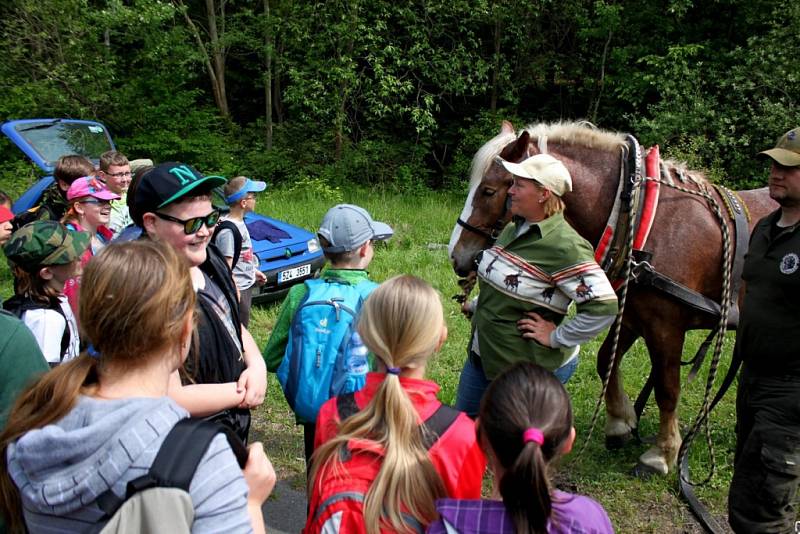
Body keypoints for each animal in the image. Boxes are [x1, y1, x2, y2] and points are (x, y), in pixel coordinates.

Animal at [446, 122, 780, 478]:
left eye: (488, 191)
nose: (456, 255)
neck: (644, 221)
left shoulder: (666, 325)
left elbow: (667, 387)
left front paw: (661, 454)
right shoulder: (633, 313)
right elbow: (606, 358)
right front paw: (620, 422)